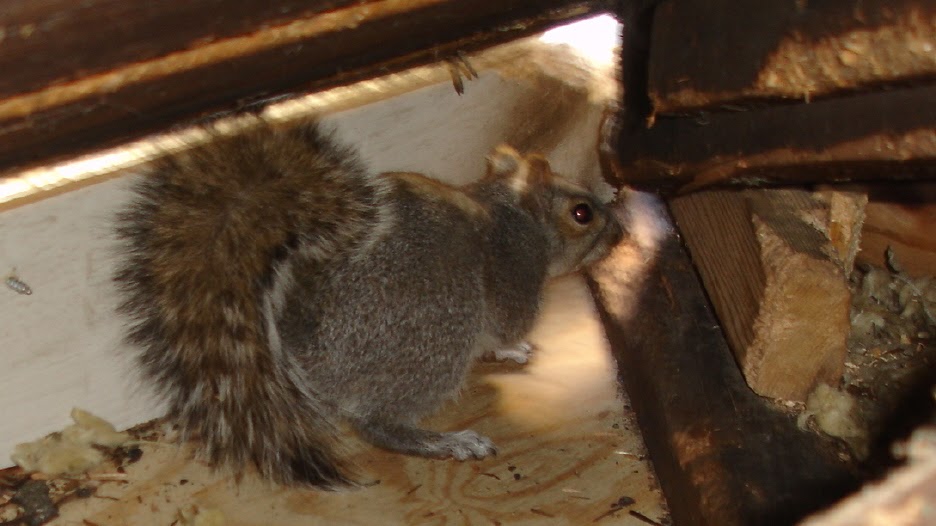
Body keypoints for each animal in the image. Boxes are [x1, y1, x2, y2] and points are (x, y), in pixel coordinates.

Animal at [113, 116, 624, 490]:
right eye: (582, 214)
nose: (620, 233)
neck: (511, 214)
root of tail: (305, 354)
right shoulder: (513, 274)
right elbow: (505, 325)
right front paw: (513, 345)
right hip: (437, 331)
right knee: (379, 424)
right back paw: (448, 442)